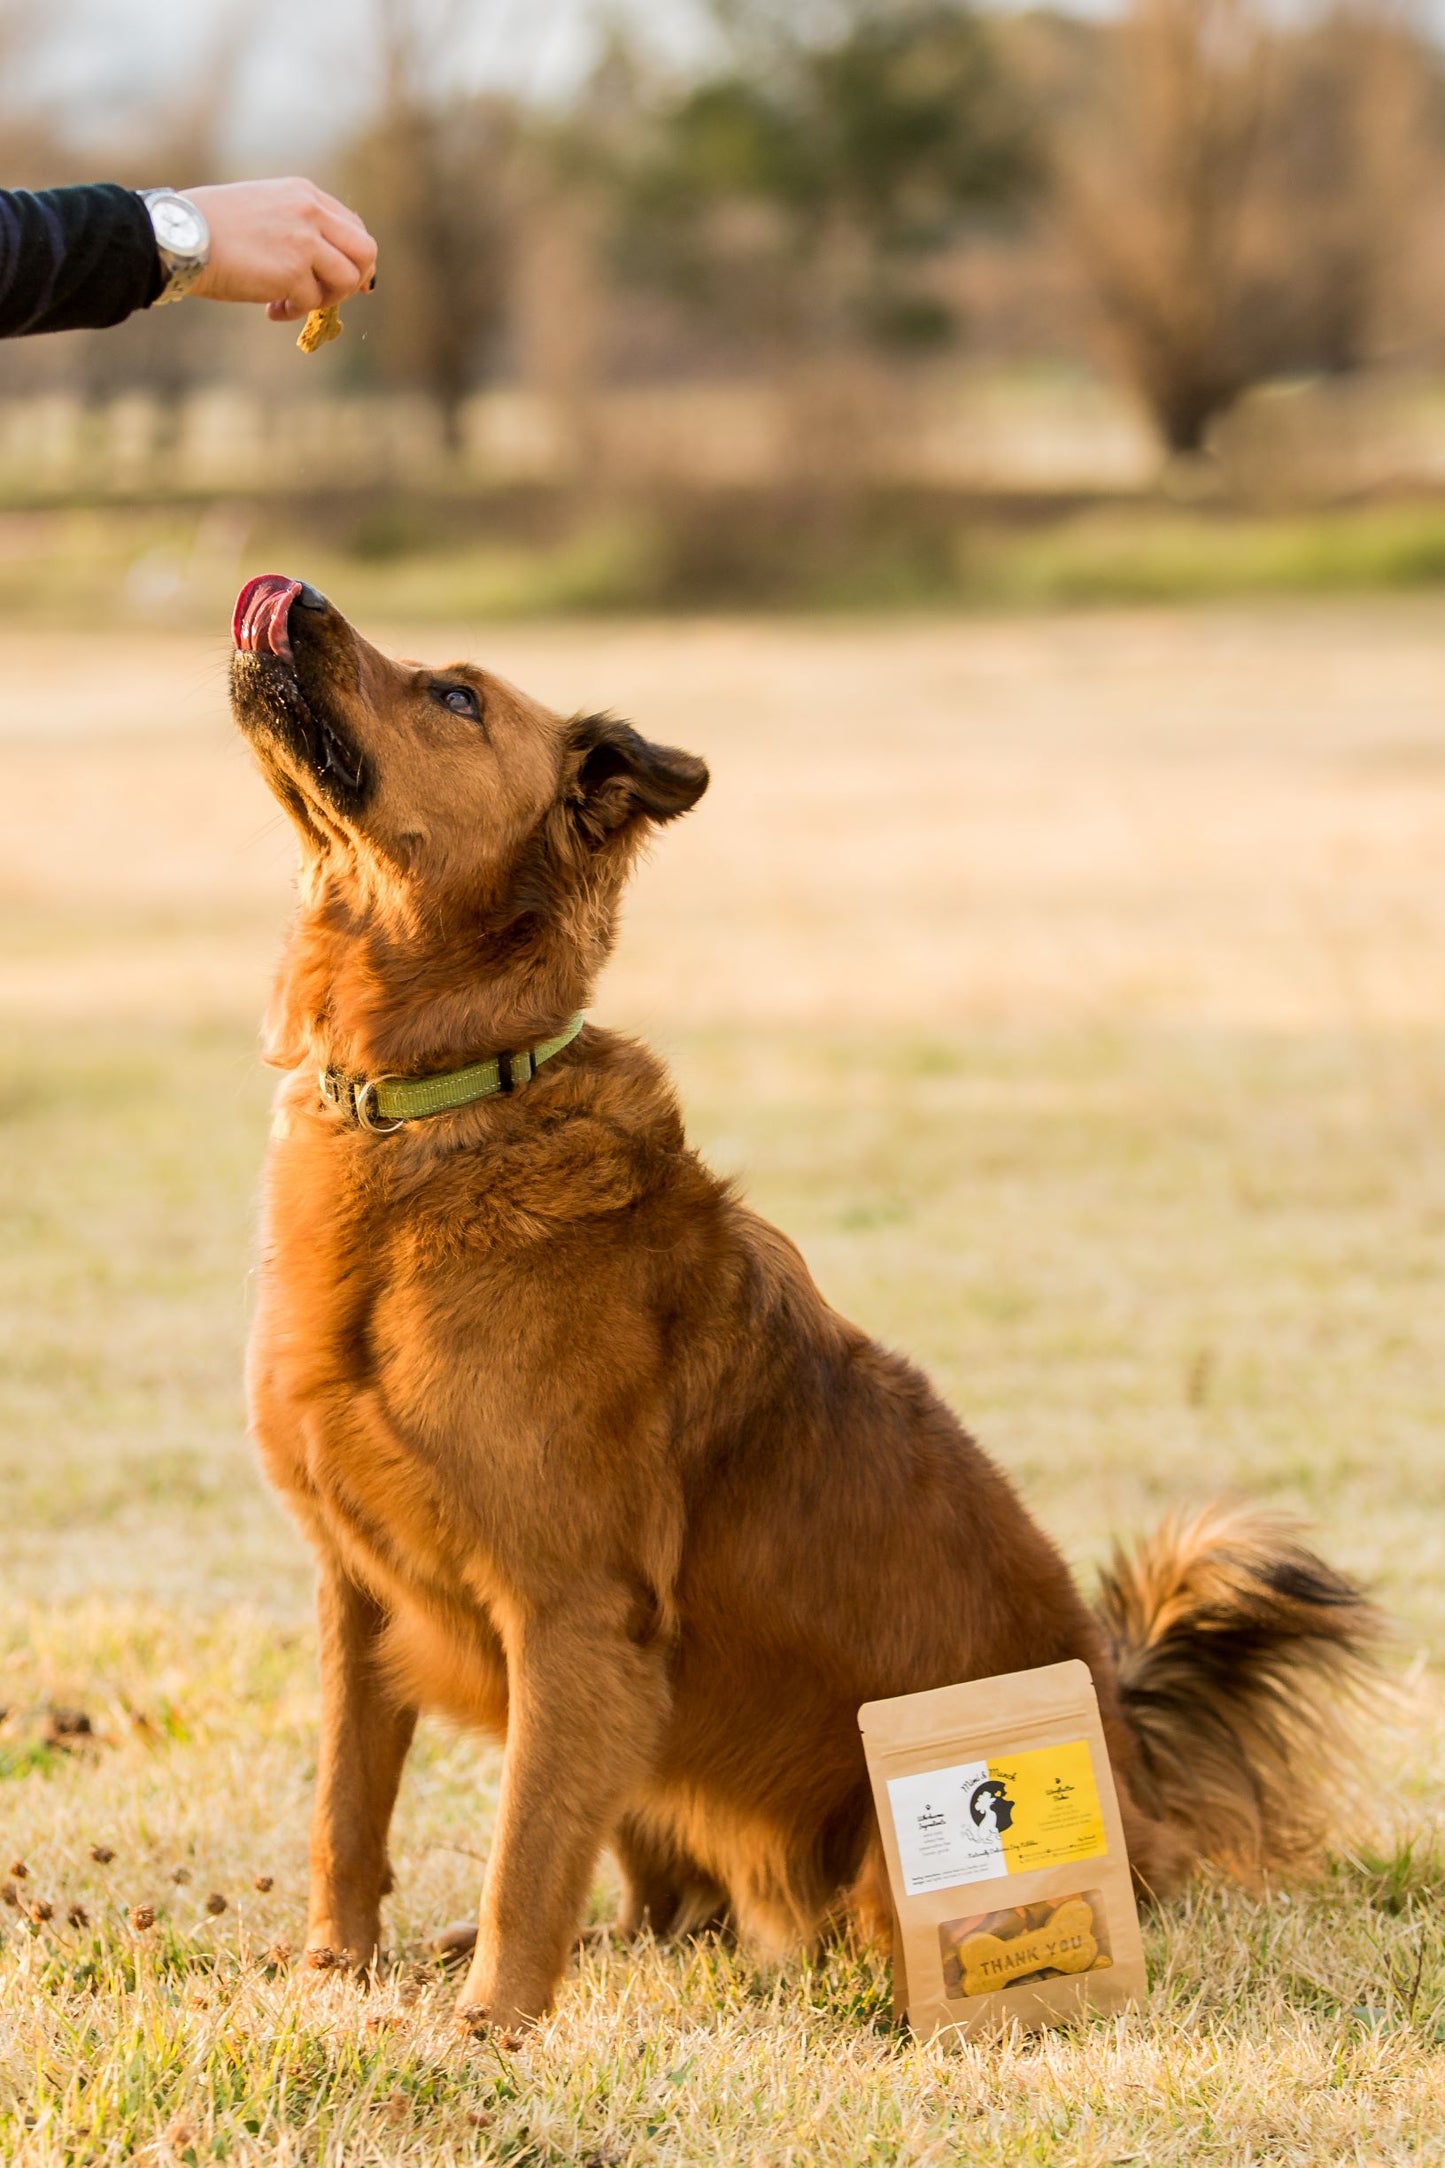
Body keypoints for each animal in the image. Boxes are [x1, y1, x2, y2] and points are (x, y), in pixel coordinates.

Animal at [235, 576, 1377, 2029]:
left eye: (454, 696)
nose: (298, 596)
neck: (444, 1104)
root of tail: (1132, 1774)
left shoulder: (572, 1612)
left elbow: (522, 1853)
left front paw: (487, 2029)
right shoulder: (356, 1592)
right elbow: (345, 1808)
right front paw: (336, 1971)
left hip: (842, 1824)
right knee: (670, 1916)